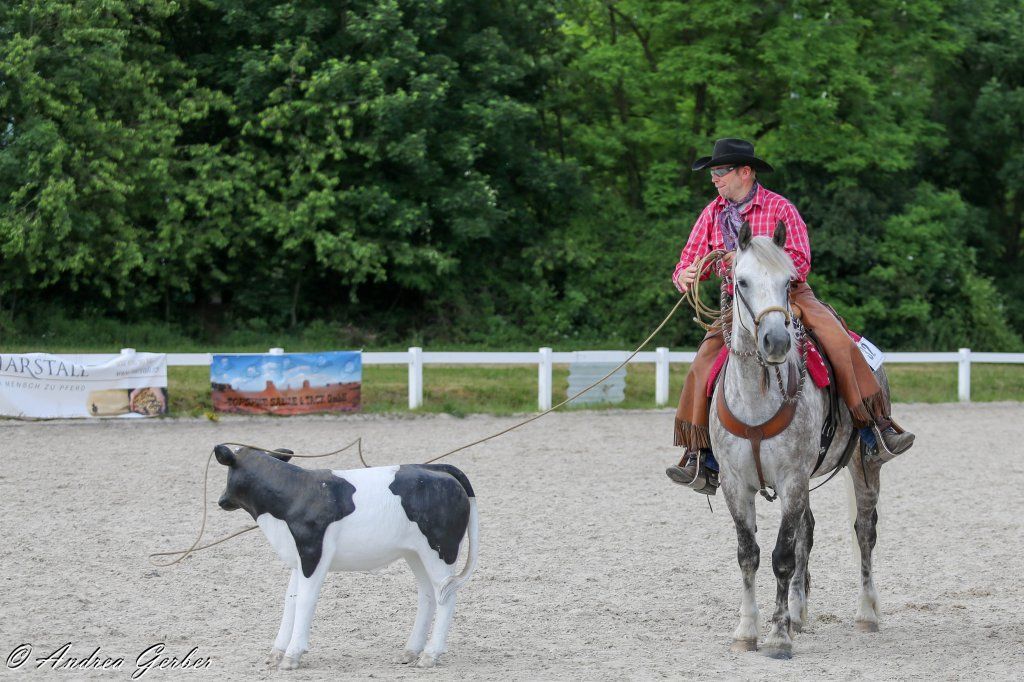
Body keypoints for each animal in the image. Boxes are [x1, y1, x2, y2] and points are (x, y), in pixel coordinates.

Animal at [709, 221, 885, 659]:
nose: (776, 341)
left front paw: (778, 637)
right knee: (808, 531)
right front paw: (747, 631)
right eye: (740, 281)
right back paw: (799, 612)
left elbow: (782, 558)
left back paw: (866, 613)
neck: (757, 398)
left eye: (789, 281)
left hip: (864, 466)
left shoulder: (791, 479)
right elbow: (749, 555)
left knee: (865, 531)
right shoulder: (735, 485)